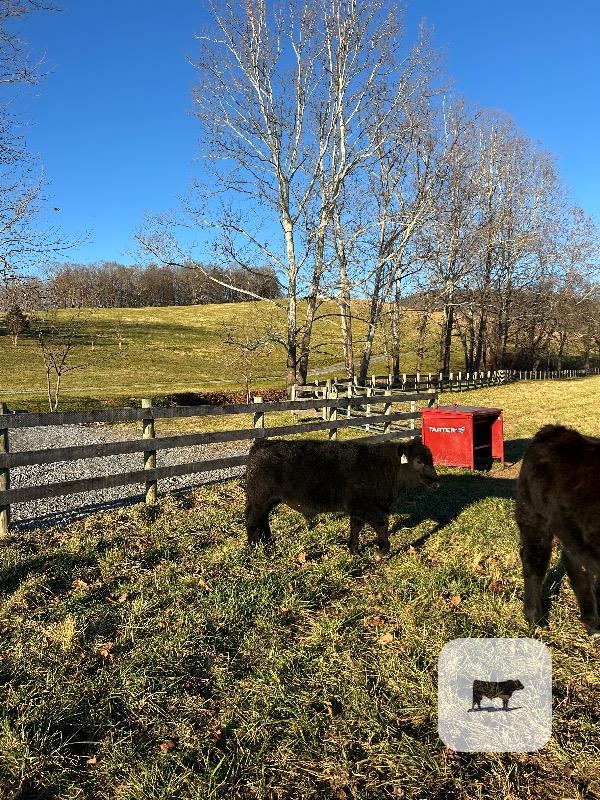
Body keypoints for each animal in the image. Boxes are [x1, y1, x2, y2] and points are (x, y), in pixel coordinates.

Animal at [244, 437, 439, 556]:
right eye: (419, 461)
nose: (437, 482)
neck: (378, 467)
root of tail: (264, 444)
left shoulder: (358, 509)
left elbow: (356, 527)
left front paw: (354, 550)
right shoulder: (366, 506)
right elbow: (382, 524)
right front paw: (381, 552)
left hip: (268, 500)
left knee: (263, 519)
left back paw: (267, 542)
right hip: (259, 499)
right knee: (252, 520)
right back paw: (255, 547)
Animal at [515, 424, 600, 639]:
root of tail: (555, 430)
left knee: (573, 563)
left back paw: (591, 622)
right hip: (533, 518)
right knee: (534, 563)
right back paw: (535, 618)